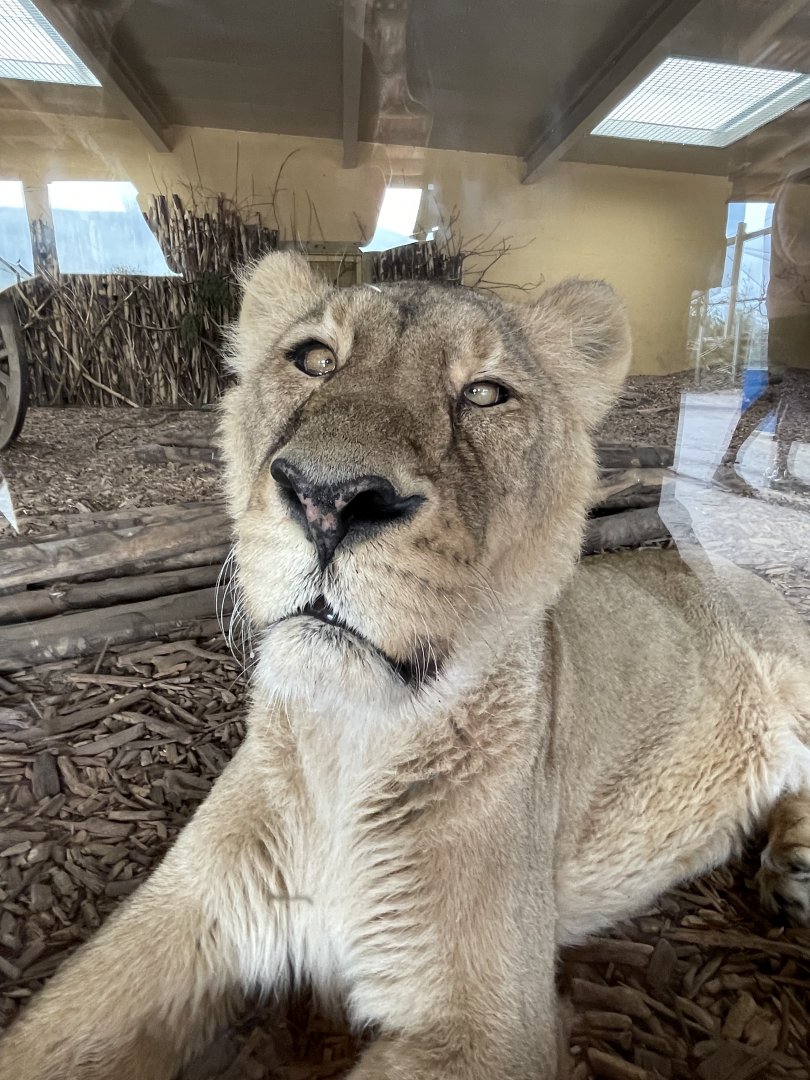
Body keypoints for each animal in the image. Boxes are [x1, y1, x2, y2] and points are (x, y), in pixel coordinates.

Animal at [1, 252, 809, 1080]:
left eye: (485, 393)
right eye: (314, 359)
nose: (328, 499)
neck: (349, 741)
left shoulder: (488, 1027)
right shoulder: (180, 915)